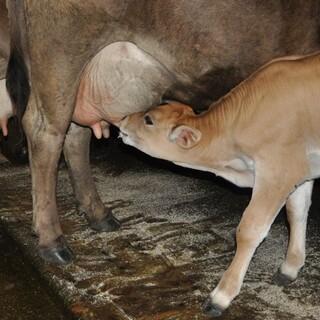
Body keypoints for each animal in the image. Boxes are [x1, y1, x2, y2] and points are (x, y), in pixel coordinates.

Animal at [119, 52, 320, 316]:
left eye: (148, 120)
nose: (122, 119)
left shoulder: (278, 170)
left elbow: (249, 230)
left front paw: (220, 296)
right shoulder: (302, 168)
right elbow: (296, 212)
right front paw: (290, 267)